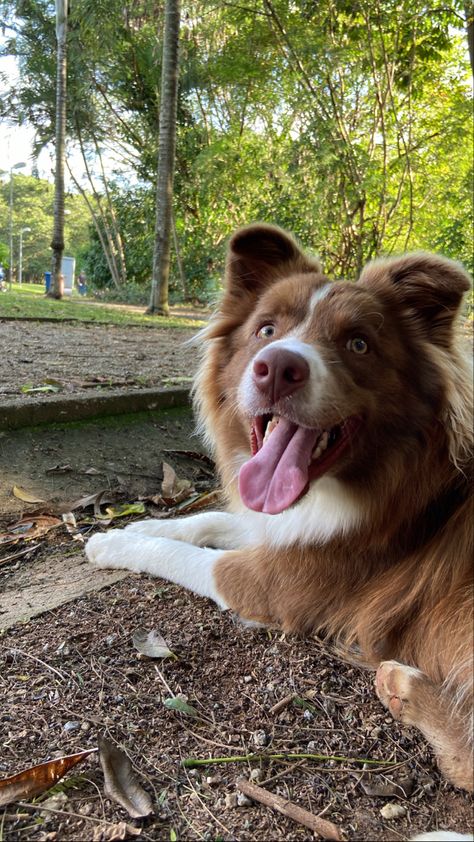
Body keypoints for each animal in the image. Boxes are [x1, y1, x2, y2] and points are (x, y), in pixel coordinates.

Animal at [86, 223, 474, 796]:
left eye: (358, 343)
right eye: (265, 329)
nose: (277, 369)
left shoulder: (278, 582)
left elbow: (182, 556)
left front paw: (113, 541)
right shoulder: (280, 522)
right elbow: (208, 519)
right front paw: (140, 523)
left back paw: (402, 683)